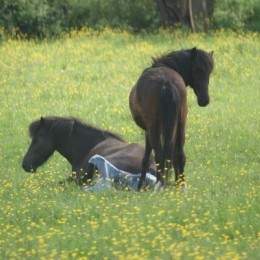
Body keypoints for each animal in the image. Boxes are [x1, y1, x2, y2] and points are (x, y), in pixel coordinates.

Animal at [129, 47, 213, 190]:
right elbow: (173, 157)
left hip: (154, 129)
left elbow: (146, 159)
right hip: (180, 125)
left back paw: (159, 186)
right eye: (196, 70)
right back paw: (181, 186)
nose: (204, 100)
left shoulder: (147, 131)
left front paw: (140, 187)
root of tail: (166, 82)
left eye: (209, 72)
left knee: (159, 155)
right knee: (179, 155)